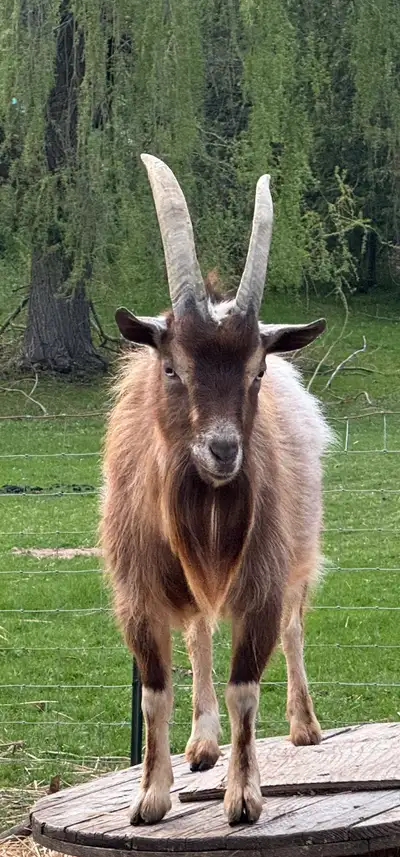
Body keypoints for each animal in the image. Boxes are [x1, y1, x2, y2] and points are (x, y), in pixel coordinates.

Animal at [100, 154, 332, 827]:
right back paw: (201, 744)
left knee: (294, 625)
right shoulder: (139, 593)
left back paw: (304, 726)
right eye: (171, 367)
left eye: (257, 371)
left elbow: (245, 689)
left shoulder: (260, 581)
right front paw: (150, 797)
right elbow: (154, 693)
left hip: (299, 550)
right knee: (199, 631)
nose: (223, 451)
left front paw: (244, 796)